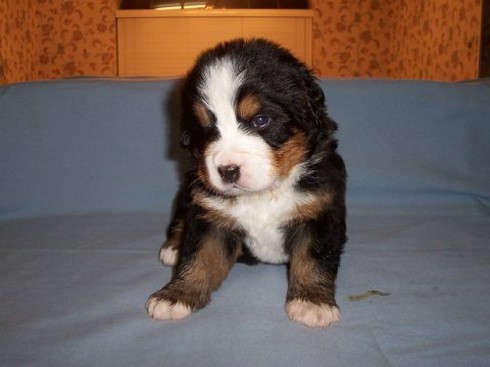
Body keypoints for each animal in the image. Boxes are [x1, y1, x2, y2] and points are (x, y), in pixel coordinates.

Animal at [146, 38, 348, 330]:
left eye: (260, 120)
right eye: (205, 128)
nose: (228, 170)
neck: (264, 194)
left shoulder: (320, 211)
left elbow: (314, 258)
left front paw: (312, 302)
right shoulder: (210, 216)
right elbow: (198, 258)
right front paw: (176, 295)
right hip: (189, 189)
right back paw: (173, 247)